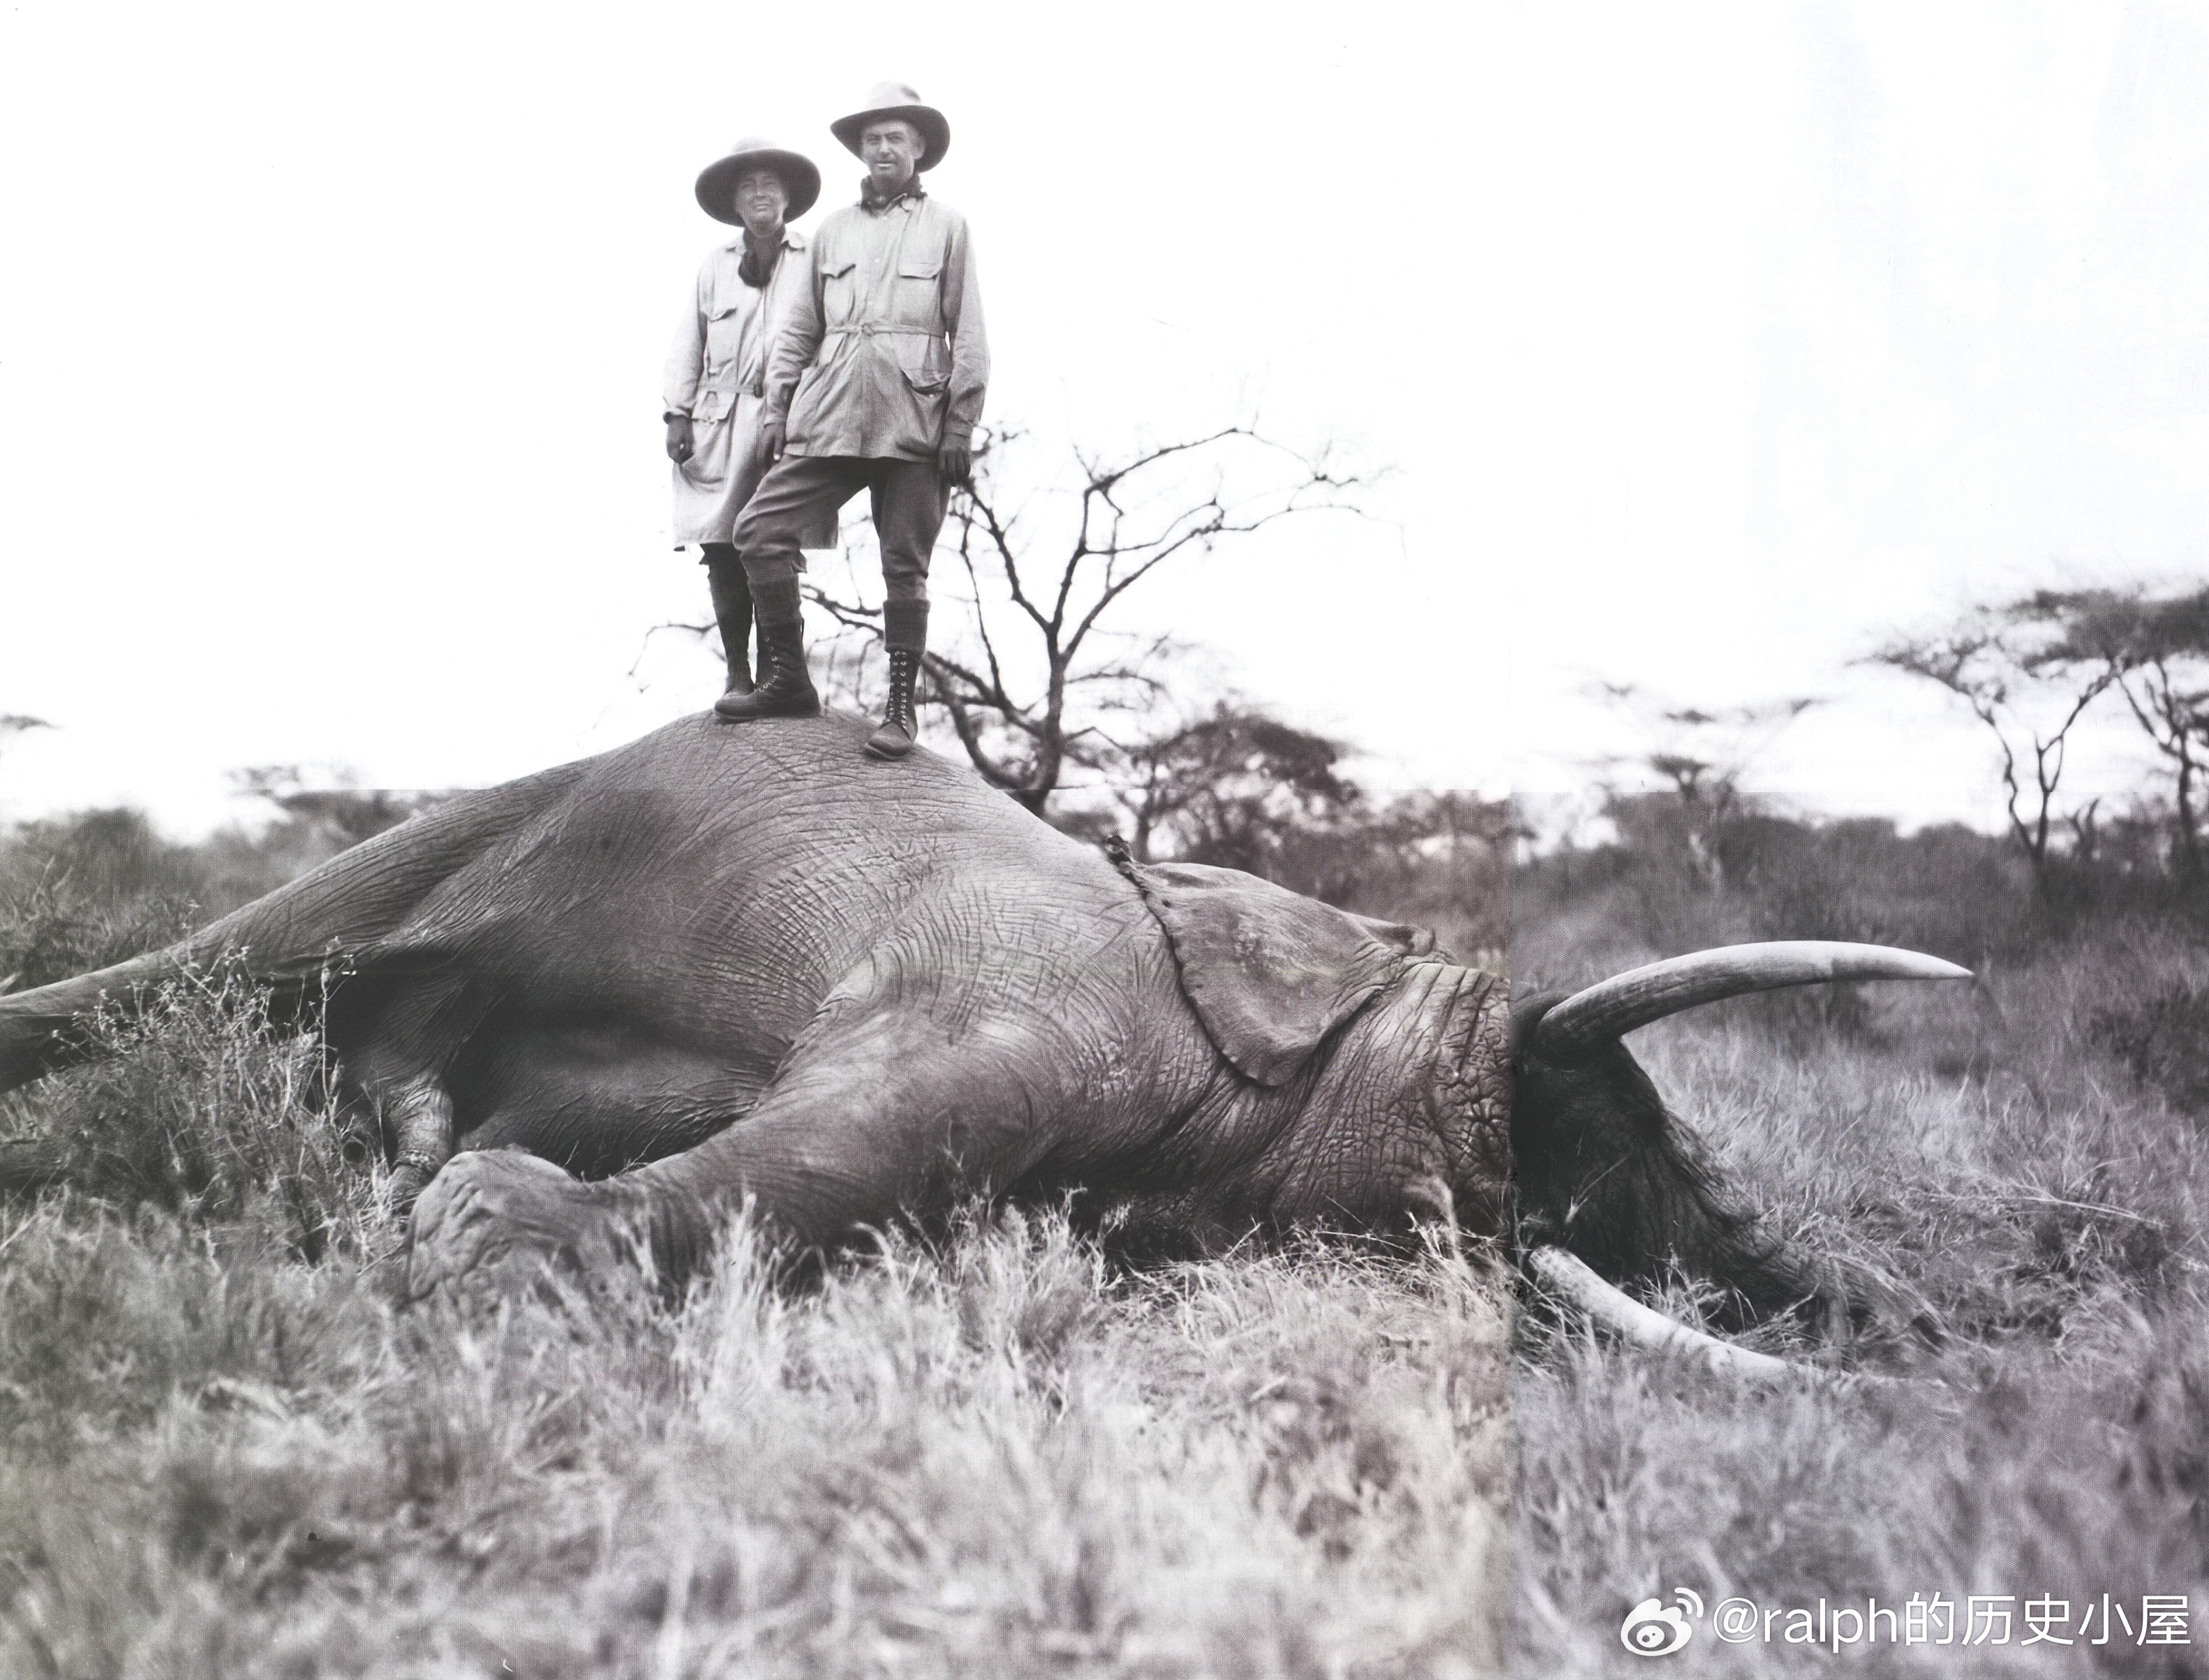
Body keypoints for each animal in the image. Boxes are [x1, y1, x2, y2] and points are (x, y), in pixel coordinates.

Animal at [0, 713, 1967, 1360]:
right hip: (472, 829)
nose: (1918, 1342)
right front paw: (481, 1243)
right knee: (206, 965)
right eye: (1607, 1122)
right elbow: (865, 1121)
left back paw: (397, 1130)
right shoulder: (1028, 987)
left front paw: (453, 1203)